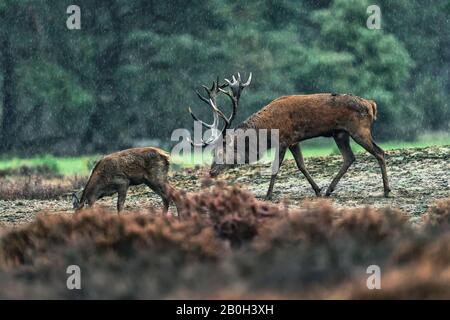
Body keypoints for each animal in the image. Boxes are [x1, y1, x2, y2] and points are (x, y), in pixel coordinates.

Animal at [186, 73, 390, 200]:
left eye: (221, 152)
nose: (212, 171)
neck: (267, 130)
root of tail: (371, 104)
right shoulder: (294, 141)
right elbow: (301, 165)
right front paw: (317, 190)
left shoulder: (284, 139)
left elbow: (276, 168)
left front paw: (268, 195)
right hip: (340, 133)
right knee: (349, 157)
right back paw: (329, 190)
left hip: (359, 129)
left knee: (380, 152)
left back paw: (386, 190)